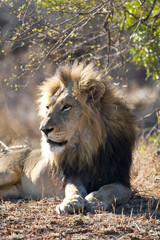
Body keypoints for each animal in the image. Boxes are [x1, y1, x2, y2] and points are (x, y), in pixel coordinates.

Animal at [0, 62, 136, 214]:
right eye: (47, 107)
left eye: (66, 107)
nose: (43, 130)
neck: (89, 146)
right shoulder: (74, 175)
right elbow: (72, 189)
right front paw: (70, 203)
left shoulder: (121, 178)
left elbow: (112, 189)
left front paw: (95, 200)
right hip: (8, 173)